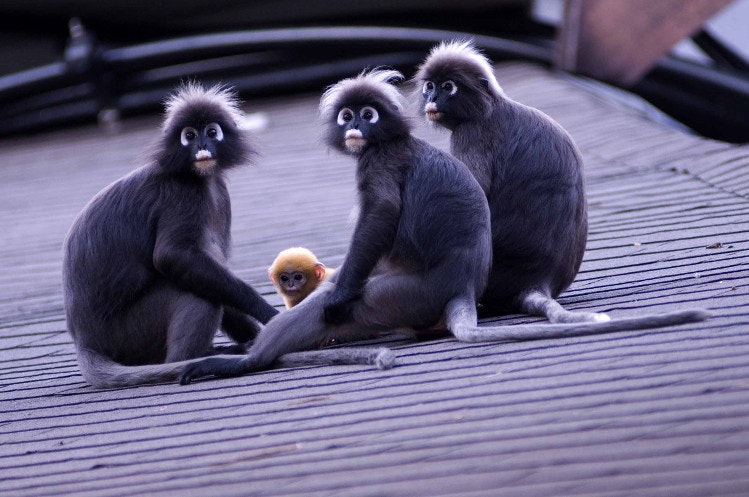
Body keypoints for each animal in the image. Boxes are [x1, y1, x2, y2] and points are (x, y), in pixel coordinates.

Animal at [418, 40, 712, 328]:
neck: (489, 108)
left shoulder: (473, 135)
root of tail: (540, 280)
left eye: (448, 87)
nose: (432, 99)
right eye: (430, 86)